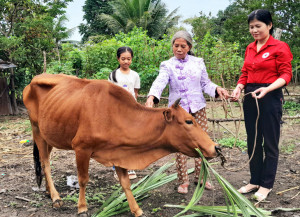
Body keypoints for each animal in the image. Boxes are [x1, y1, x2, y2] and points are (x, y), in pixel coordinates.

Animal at [22, 73, 218, 216]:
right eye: (189, 121)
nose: (215, 147)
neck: (114, 114)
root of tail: (32, 81)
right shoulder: (81, 148)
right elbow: (83, 179)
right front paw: (82, 207)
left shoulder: (120, 152)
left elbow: (125, 183)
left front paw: (137, 210)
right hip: (36, 129)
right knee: (45, 164)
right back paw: (55, 197)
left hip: (49, 135)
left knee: (44, 160)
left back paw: (49, 192)